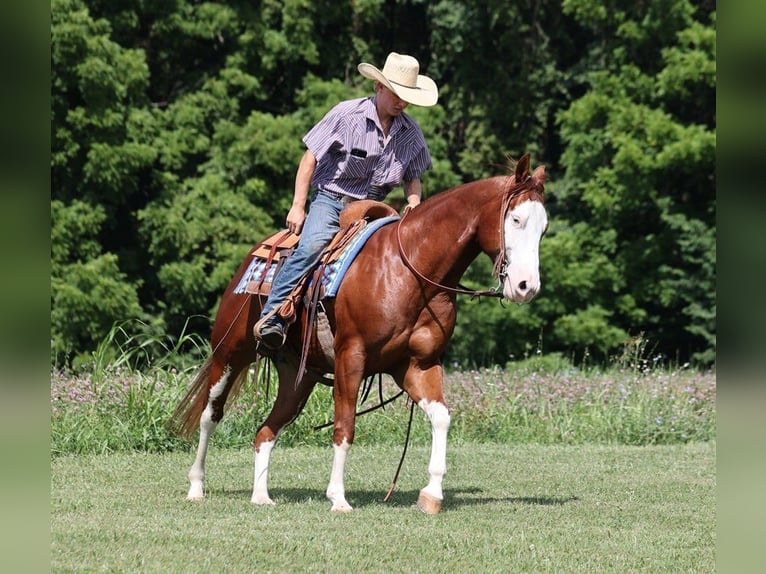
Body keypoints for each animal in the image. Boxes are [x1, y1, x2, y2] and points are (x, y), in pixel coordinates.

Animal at [170, 153, 548, 514]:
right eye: (516, 220)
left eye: (543, 229)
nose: (526, 287)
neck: (410, 270)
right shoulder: (351, 356)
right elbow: (345, 425)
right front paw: (338, 497)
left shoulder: (416, 365)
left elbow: (441, 418)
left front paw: (432, 495)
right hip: (230, 353)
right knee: (210, 415)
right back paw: (195, 487)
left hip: (299, 377)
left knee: (265, 431)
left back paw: (261, 496)